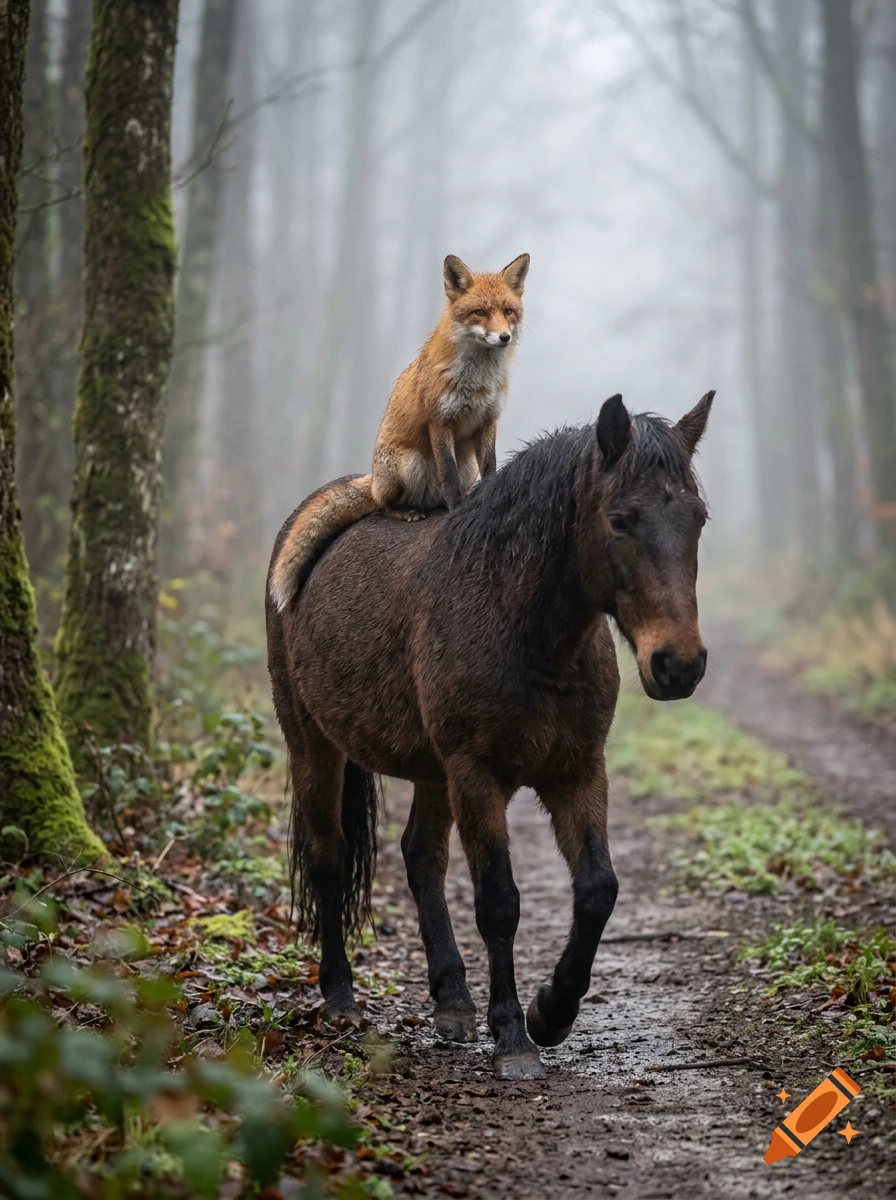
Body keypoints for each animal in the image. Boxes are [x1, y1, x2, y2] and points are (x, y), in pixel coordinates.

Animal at [265, 391, 714, 1079]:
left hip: (431, 771)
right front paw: (512, 1036)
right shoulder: (478, 777)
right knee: (328, 857)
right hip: (313, 745)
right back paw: (340, 998)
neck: (519, 624)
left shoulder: (578, 772)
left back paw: (452, 1001)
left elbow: (597, 890)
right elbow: (499, 902)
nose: (679, 665)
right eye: (620, 520)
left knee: (421, 857)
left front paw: (552, 1011)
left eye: (698, 520)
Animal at [269, 251, 530, 612]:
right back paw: (407, 512)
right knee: (383, 505)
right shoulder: (439, 421)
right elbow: (447, 474)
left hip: (466, 467)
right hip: (409, 462)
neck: (478, 379)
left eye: (508, 312)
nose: (504, 337)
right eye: (479, 312)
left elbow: (490, 468)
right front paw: (458, 508)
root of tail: (375, 478)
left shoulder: (488, 420)